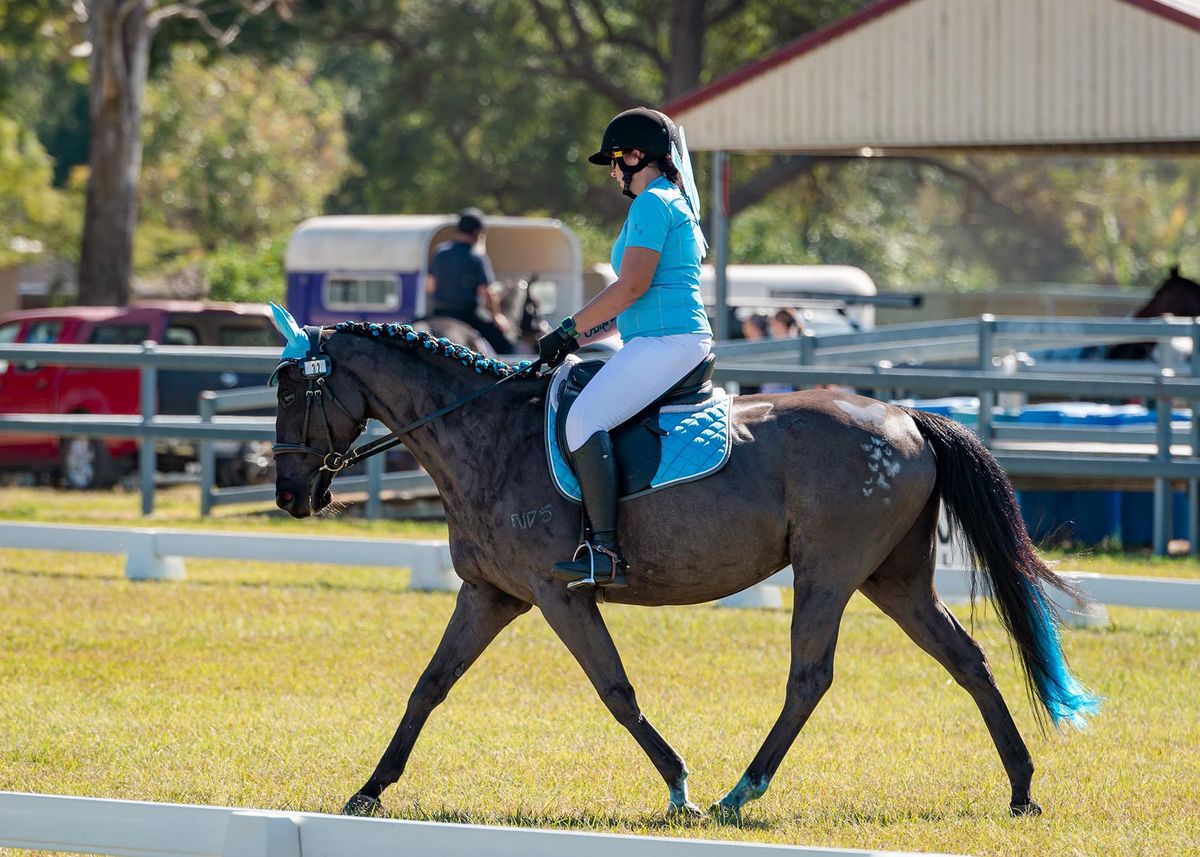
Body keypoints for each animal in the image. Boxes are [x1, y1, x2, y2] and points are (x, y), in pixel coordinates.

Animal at [270, 316, 1099, 816]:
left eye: (290, 392)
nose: (287, 494)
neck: (486, 433)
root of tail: (907, 418)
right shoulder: (488, 594)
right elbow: (429, 685)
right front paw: (369, 790)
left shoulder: (557, 593)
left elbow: (615, 689)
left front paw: (678, 785)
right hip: (893, 577)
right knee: (967, 657)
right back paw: (1021, 786)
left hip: (829, 570)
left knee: (811, 675)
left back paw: (742, 789)